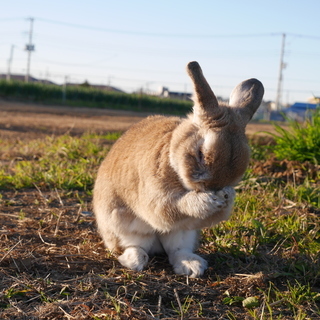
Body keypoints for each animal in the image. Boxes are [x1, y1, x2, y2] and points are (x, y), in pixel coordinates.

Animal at [93, 60, 264, 278]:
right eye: (200, 154)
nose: (213, 188)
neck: (172, 158)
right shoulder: (154, 198)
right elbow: (170, 208)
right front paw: (208, 201)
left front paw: (227, 197)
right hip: (123, 226)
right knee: (135, 246)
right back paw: (135, 261)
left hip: (183, 233)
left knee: (176, 250)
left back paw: (192, 265)